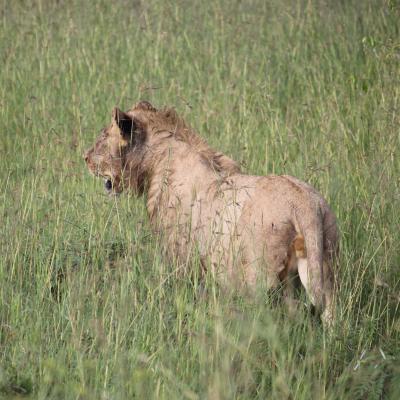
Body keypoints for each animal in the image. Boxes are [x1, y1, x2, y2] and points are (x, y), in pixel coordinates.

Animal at [84, 101, 339, 327]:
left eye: (103, 136)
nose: (85, 158)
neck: (157, 163)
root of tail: (304, 204)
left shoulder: (181, 257)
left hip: (261, 277)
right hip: (322, 265)